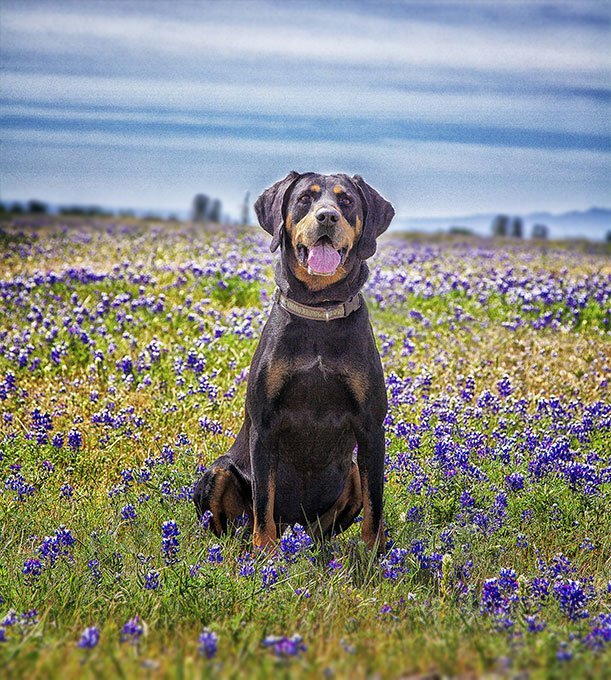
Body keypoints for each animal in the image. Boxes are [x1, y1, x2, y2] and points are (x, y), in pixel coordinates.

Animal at [194, 171, 394, 552]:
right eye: (305, 198)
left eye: (346, 200)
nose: (327, 217)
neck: (319, 310)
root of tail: (295, 525)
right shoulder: (264, 426)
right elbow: (264, 503)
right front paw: (265, 554)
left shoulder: (371, 427)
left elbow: (374, 509)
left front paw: (373, 556)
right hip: (219, 471)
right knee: (233, 527)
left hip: (349, 475)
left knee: (321, 532)